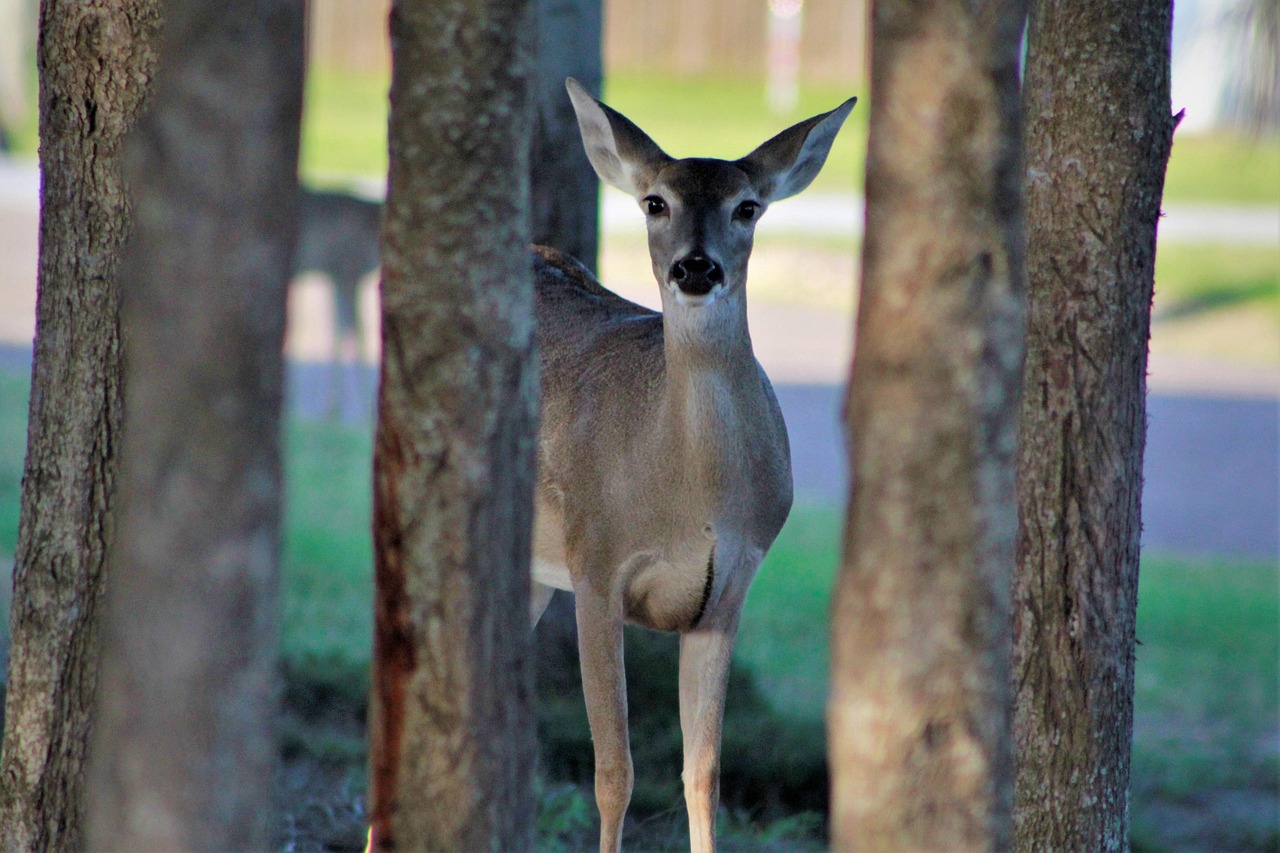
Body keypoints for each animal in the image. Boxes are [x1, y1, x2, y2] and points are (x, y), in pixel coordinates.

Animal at [531, 78, 855, 852]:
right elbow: (613, 772)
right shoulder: (594, 563)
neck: (691, 499)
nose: (696, 267)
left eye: (747, 207)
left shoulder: (730, 588)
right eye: (656, 202)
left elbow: (703, 774)